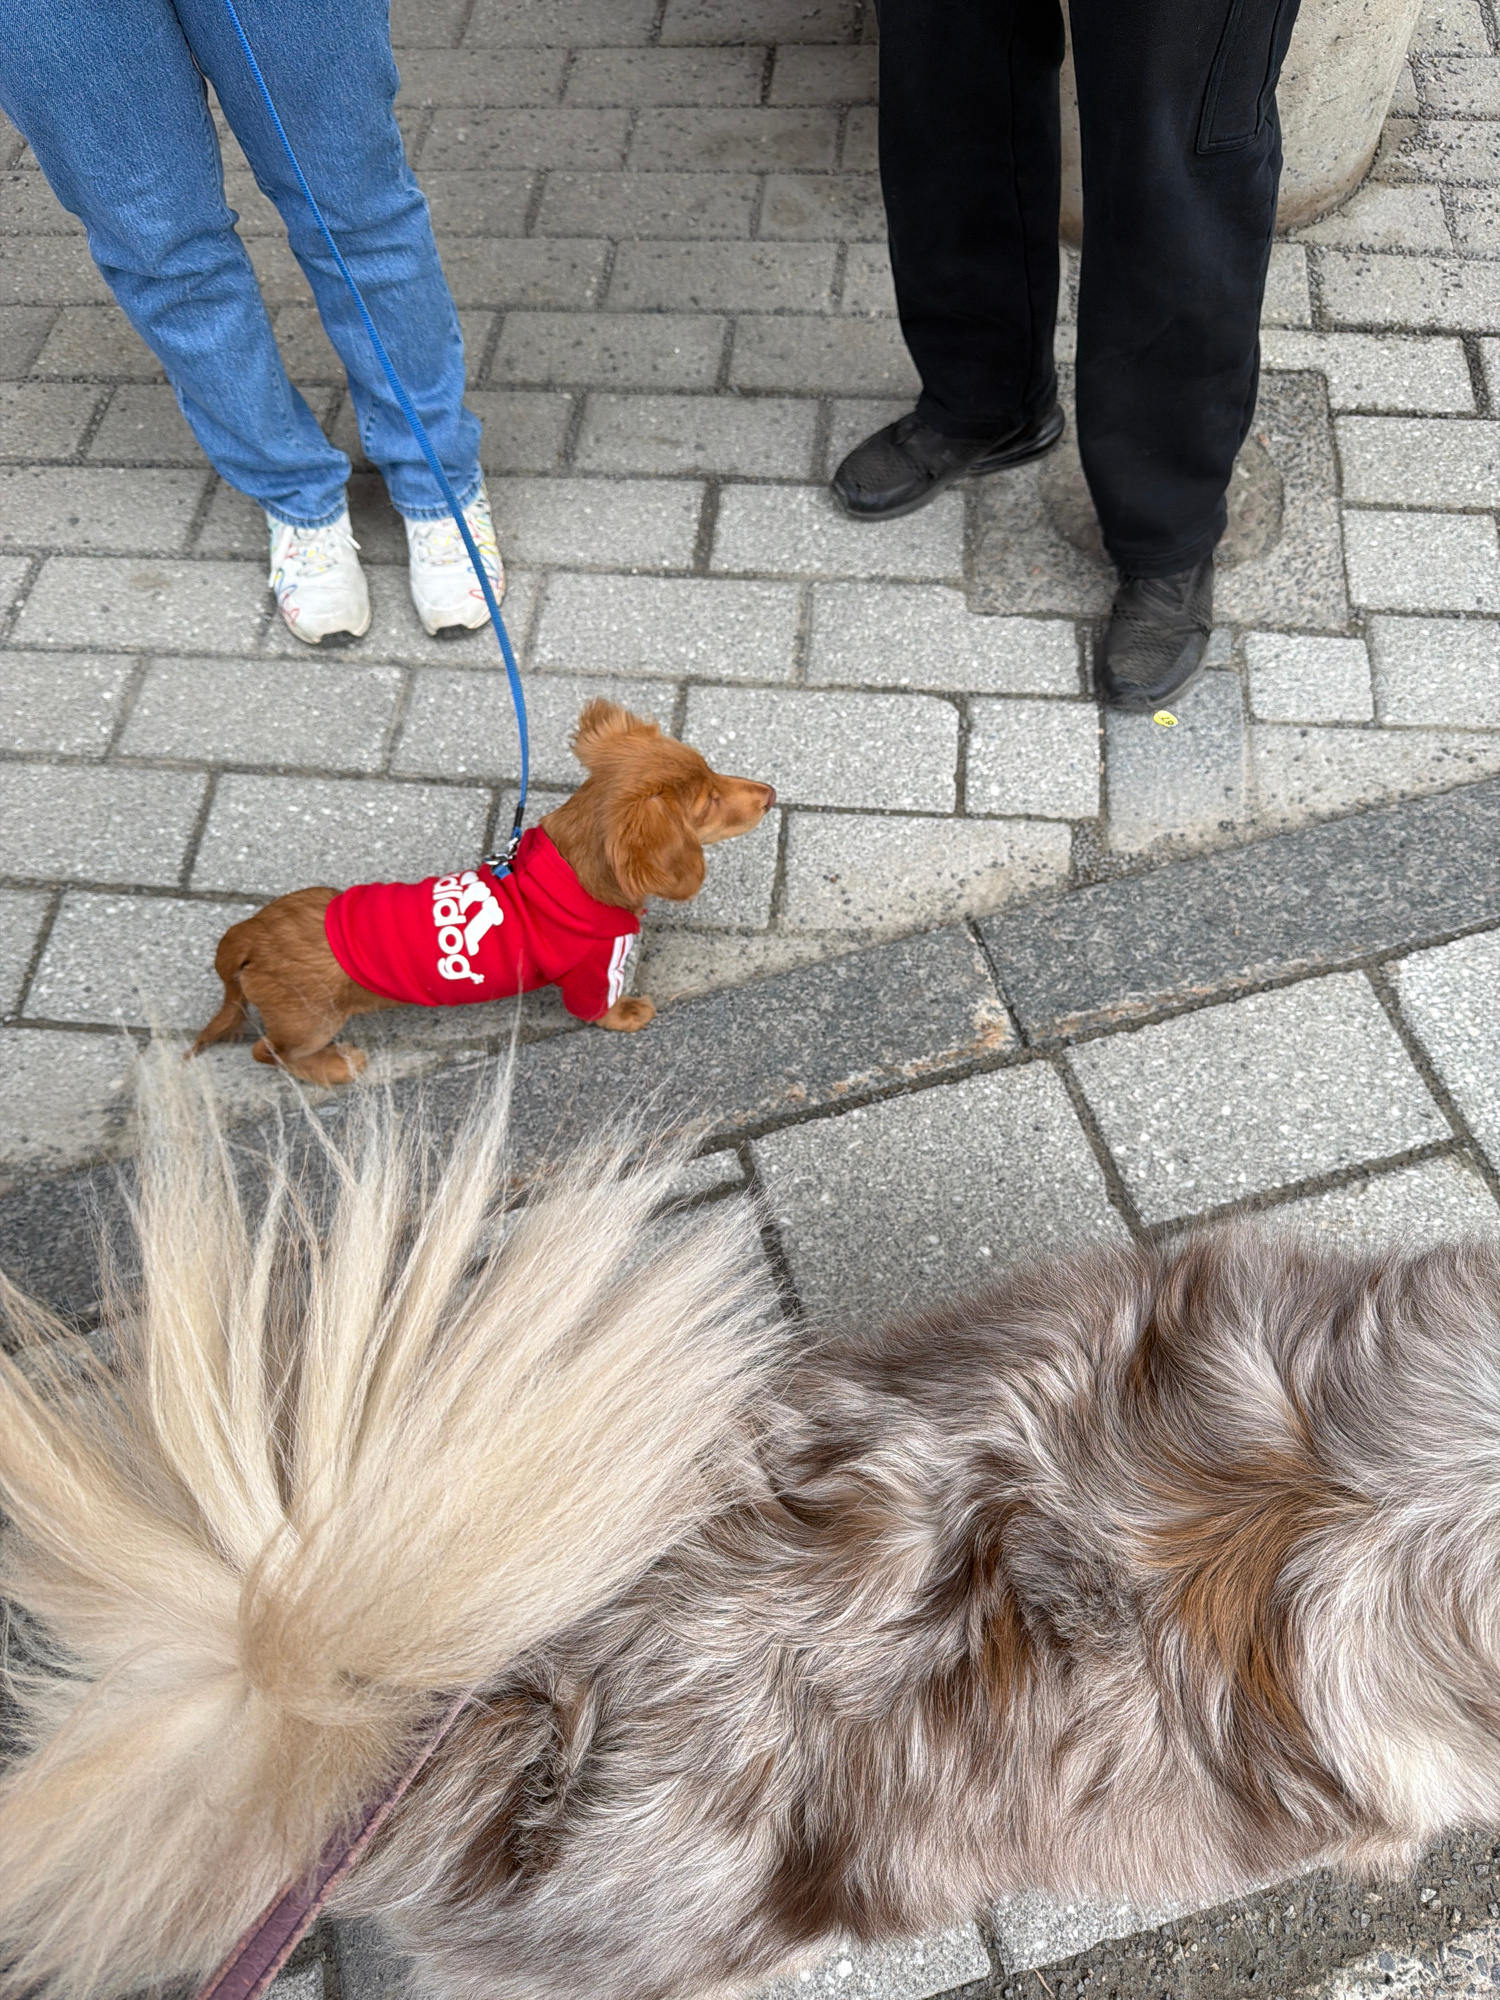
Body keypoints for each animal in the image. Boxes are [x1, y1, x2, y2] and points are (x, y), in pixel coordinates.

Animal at [189, 699, 775, 1083]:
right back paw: (336, 1066)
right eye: (708, 803)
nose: (771, 793)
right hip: (311, 1022)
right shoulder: (591, 973)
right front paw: (628, 1014)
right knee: (268, 1053)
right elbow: (597, 1008)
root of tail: (247, 937)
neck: (570, 874)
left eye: (712, 771)